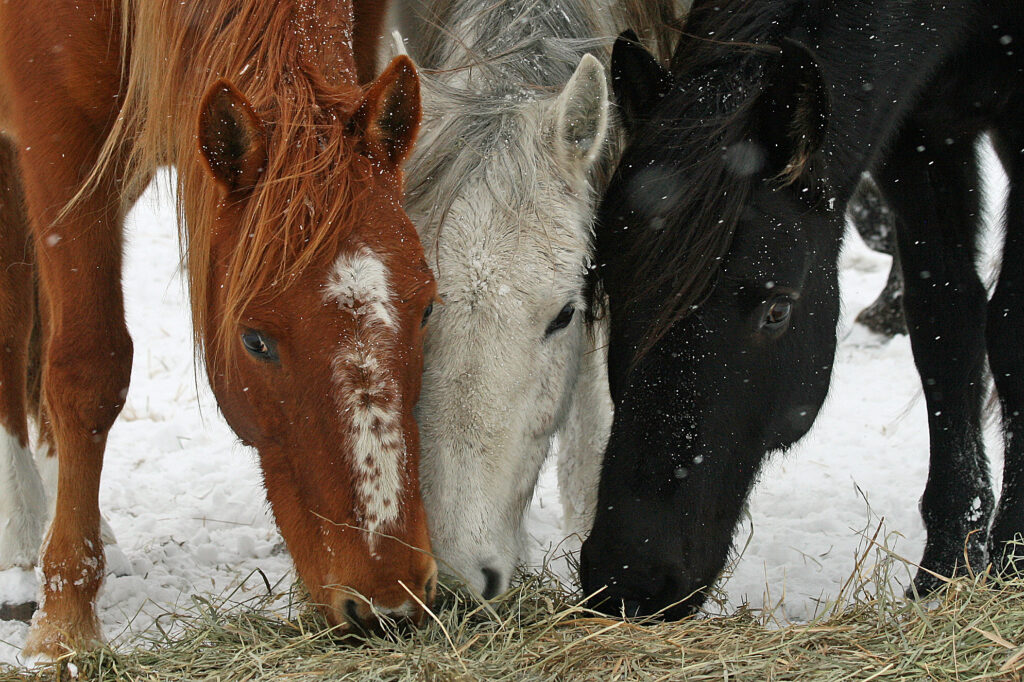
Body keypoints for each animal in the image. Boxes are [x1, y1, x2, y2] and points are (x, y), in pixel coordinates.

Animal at [0, 0, 437, 657]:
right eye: (254, 340)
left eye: (428, 308)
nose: (389, 602)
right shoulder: (58, 127)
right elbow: (89, 368)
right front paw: (64, 627)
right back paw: (23, 533)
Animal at [578, 0, 1024, 618]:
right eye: (611, 288)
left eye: (777, 310)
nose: (629, 576)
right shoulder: (919, 134)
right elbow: (945, 324)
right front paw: (948, 569)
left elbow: (1007, 330)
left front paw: (1009, 562)